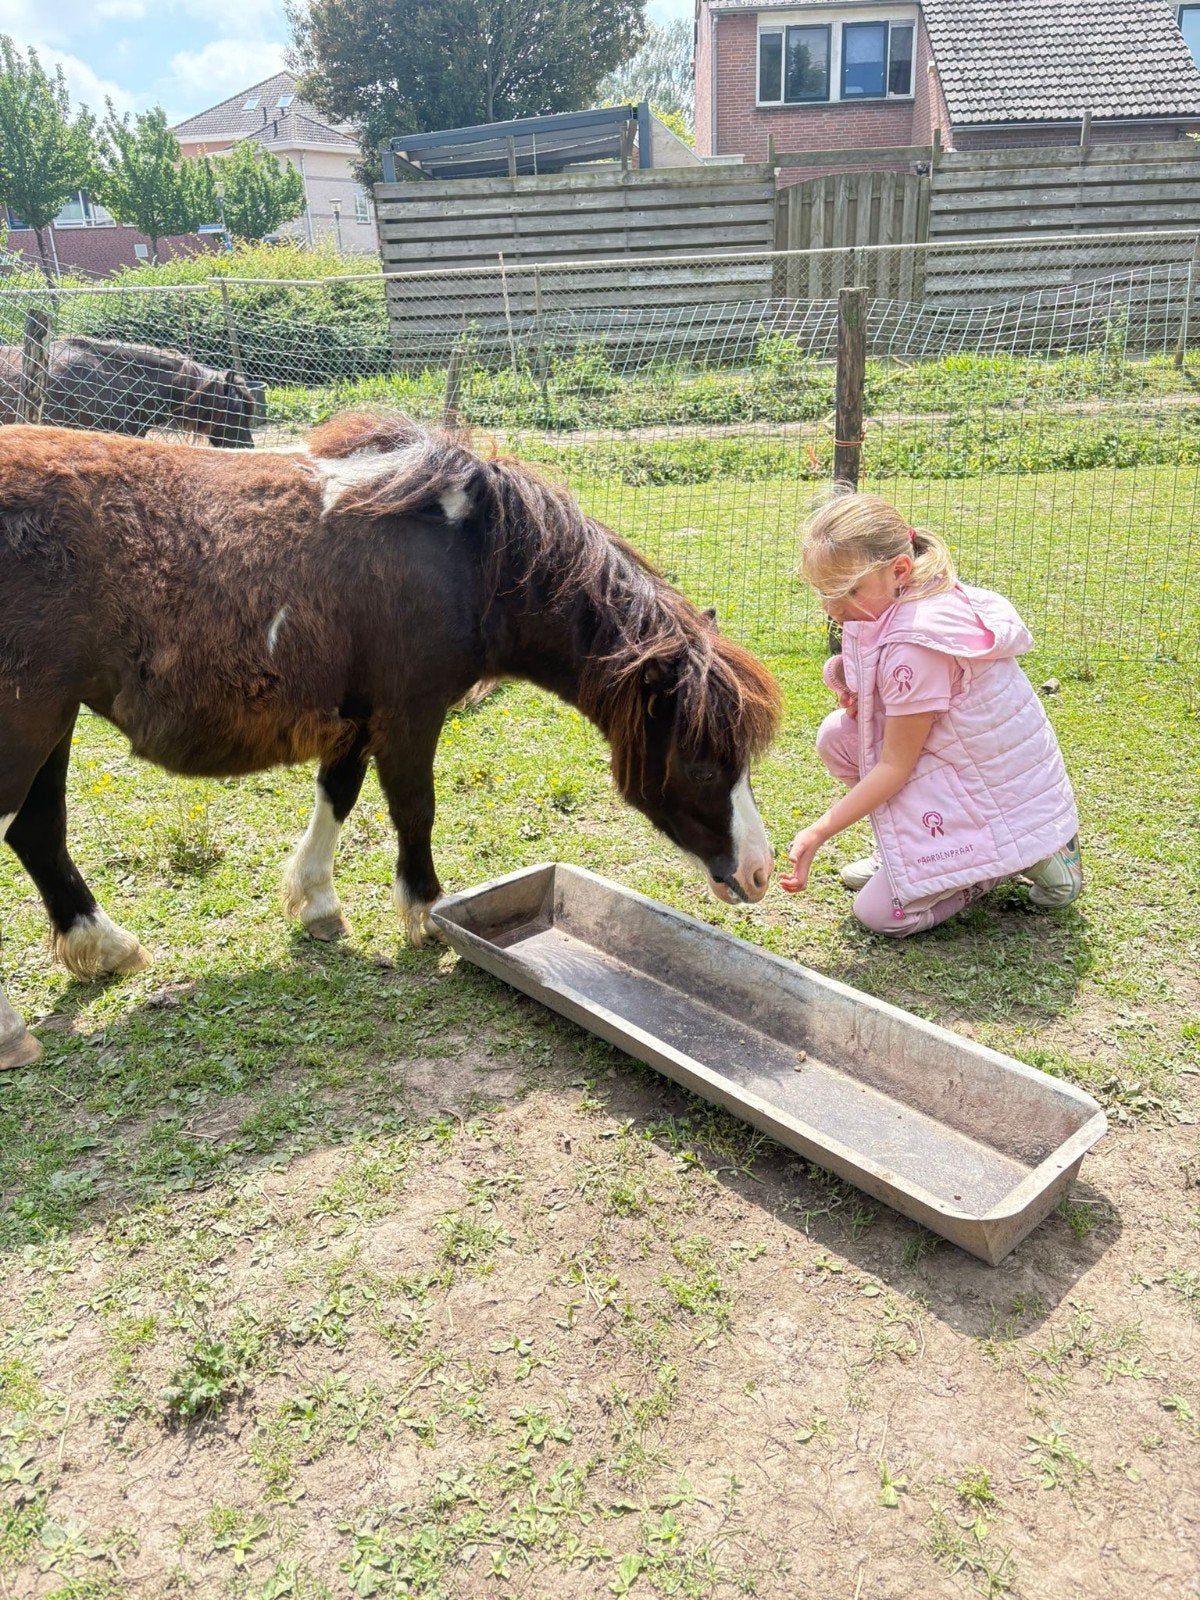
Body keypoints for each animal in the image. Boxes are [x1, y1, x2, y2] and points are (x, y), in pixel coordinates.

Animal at [0, 413, 782, 1071]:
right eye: (704, 762)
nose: (758, 873)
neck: (471, 554)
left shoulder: (354, 715)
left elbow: (337, 796)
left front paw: (317, 904)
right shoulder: (410, 713)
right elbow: (414, 809)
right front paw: (428, 913)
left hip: (55, 722)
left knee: (37, 834)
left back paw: (102, 946)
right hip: (30, 724)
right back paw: (15, 1029)